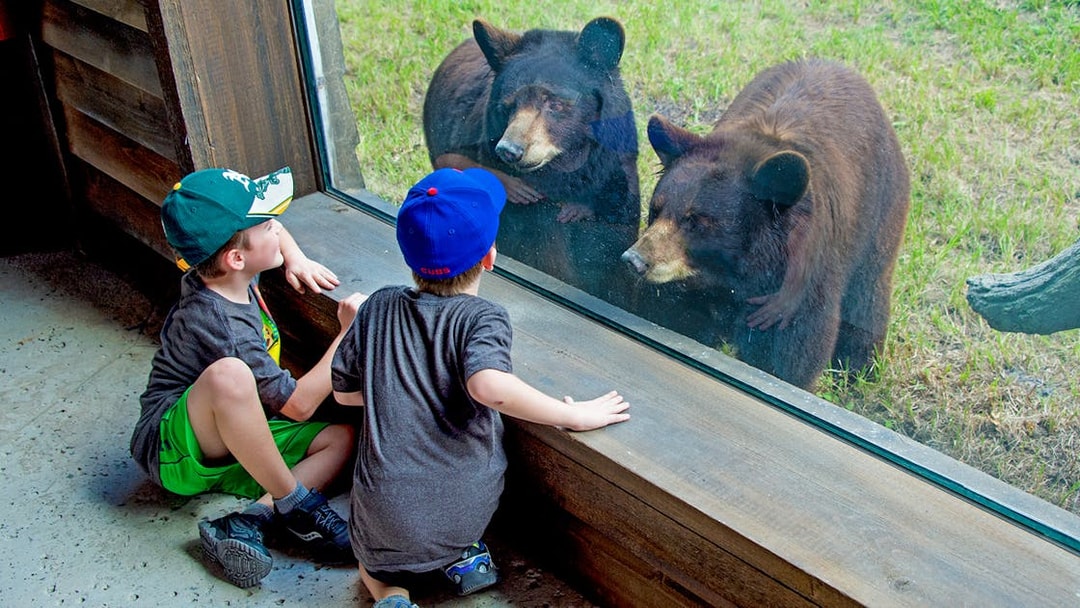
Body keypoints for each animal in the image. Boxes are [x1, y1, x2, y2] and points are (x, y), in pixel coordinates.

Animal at [621, 58, 911, 390]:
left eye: (697, 221)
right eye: (655, 210)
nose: (635, 260)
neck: (730, 279)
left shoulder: (795, 285)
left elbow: (788, 354)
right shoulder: (688, 293)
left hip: (880, 208)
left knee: (870, 291)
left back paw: (860, 368)